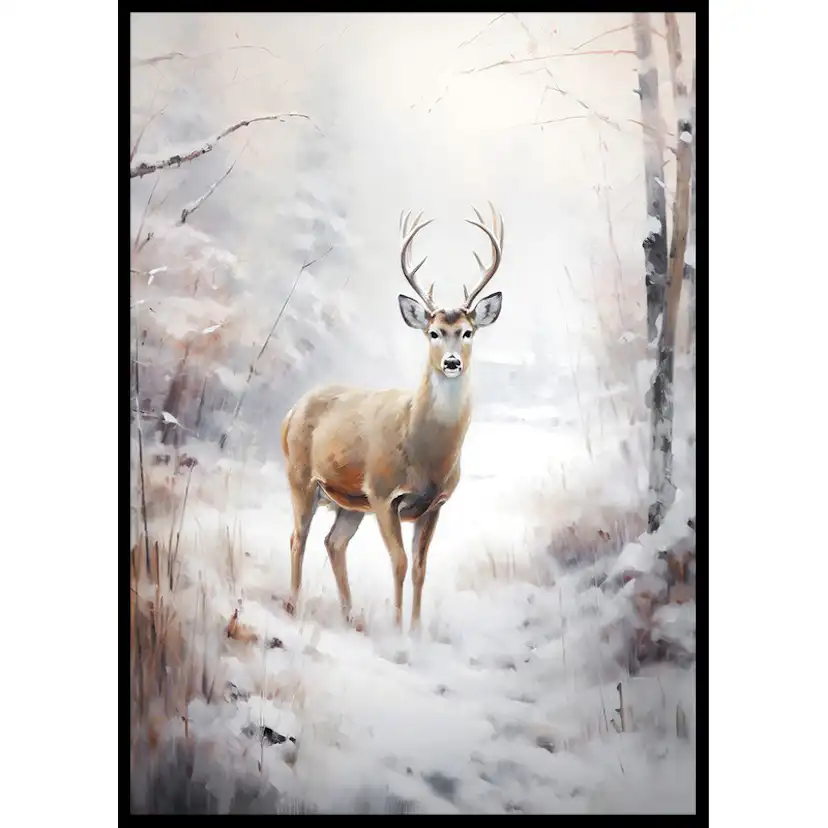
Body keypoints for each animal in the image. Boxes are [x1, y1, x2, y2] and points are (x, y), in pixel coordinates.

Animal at [280, 205, 505, 632]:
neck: (425, 454)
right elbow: (399, 562)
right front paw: (398, 628)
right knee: (298, 537)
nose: (452, 362)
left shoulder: (435, 504)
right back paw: (293, 605)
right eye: (433, 332)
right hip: (302, 478)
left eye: (468, 332)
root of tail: (292, 410)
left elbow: (419, 567)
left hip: (350, 501)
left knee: (333, 542)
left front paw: (415, 630)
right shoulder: (384, 494)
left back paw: (351, 617)